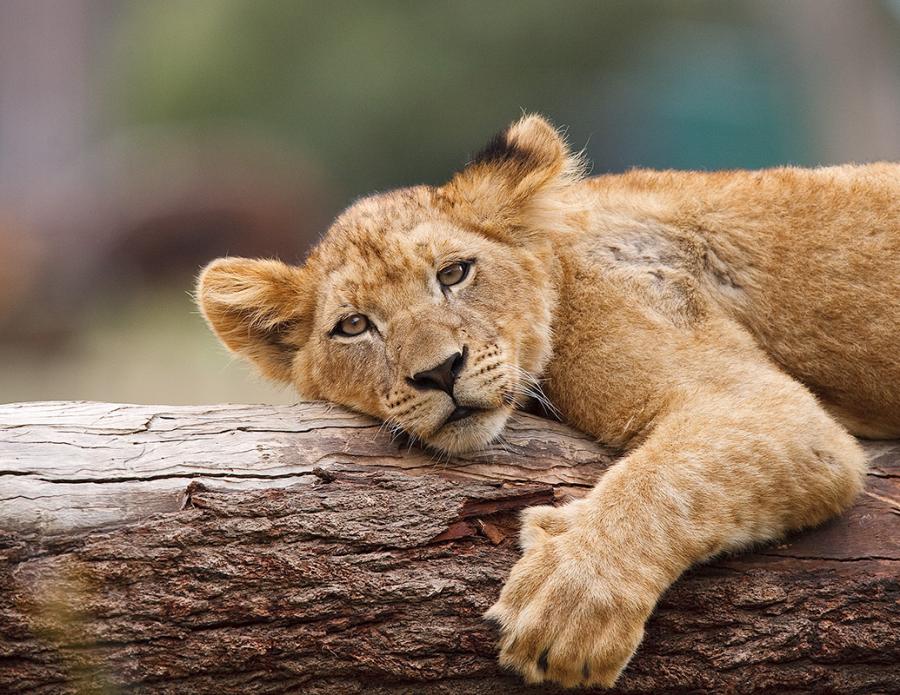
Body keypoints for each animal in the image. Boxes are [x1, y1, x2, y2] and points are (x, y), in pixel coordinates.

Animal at [196, 115, 899, 688]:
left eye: (454, 273)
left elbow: (666, 481)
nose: (439, 372)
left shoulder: (767, 411)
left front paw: (569, 599)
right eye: (353, 326)